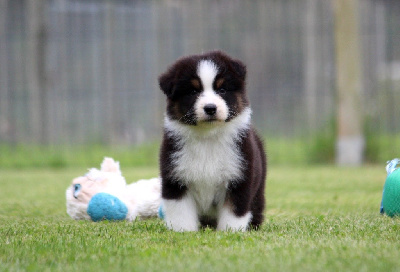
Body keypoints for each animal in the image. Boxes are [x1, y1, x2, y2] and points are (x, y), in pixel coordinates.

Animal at [158, 51, 268, 232]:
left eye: (222, 89)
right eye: (193, 91)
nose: (210, 108)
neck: (208, 137)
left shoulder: (239, 177)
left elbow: (234, 212)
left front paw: (231, 232)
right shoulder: (176, 176)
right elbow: (181, 212)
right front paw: (183, 232)